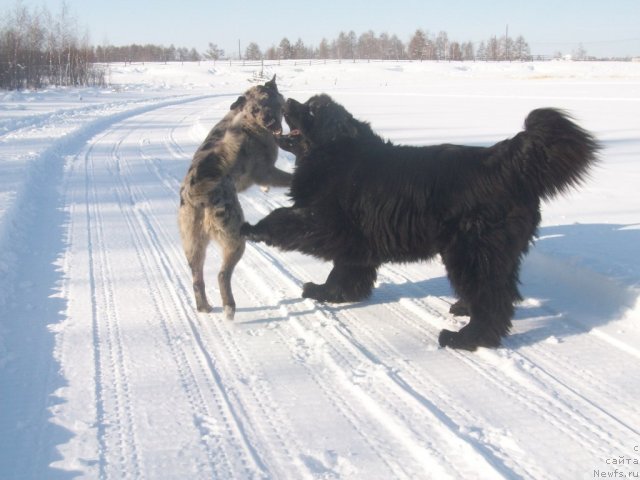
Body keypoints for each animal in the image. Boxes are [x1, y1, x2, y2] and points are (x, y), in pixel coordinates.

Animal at [179, 77, 292, 318]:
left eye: (268, 100)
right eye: (254, 109)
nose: (268, 120)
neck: (250, 124)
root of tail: (196, 194)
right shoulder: (266, 171)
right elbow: (287, 178)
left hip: (193, 244)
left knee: (197, 278)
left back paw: (205, 307)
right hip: (235, 237)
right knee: (222, 275)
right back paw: (229, 307)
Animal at [241, 94, 600, 350]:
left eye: (313, 110)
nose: (287, 101)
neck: (335, 151)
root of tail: (503, 163)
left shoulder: (328, 222)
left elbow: (285, 220)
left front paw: (253, 229)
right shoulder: (355, 236)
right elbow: (345, 269)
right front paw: (332, 292)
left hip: (471, 250)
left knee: (492, 299)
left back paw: (466, 338)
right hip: (494, 252)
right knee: (501, 290)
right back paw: (464, 309)